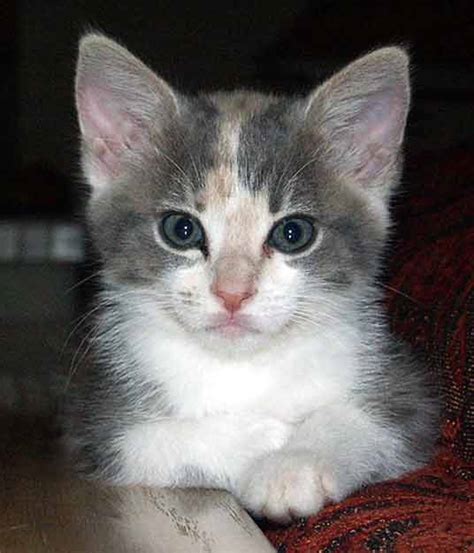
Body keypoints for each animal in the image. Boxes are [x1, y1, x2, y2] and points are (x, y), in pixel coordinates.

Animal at [68, 34, 438, 520]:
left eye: (293, 233)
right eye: (180, 229)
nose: (232, 292)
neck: (242, 366)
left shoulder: (409, 392)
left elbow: (369, 417)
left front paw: (292, 465)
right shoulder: (90, 417)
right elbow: (145, 440)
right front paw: (263, 438)